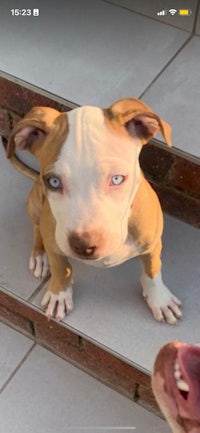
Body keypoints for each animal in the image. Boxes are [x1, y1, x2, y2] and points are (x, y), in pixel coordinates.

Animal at [7, 97, 183, 320]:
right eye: (53, 182)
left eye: (117, 179)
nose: (84, 246)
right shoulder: (54, 239)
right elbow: (60, 267)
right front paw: (59, 294)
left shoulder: (152, 244)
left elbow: (152, 270)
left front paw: (160, 300)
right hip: (36, 204)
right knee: (38, 229)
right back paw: (40, 256)